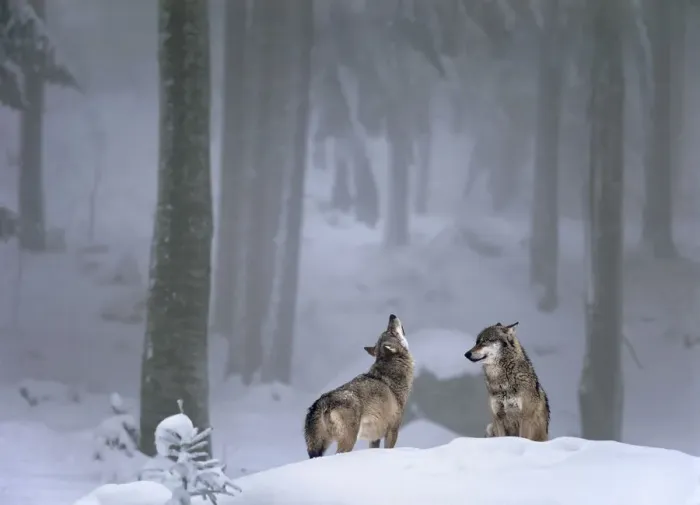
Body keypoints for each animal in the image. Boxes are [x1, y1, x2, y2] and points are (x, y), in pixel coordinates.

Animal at [304, 314, 415, 458]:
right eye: (391, 332)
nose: (392, 315)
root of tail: (322, 402)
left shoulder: (374, 438)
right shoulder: (392, 430)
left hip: (319, 448)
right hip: (349, 440)